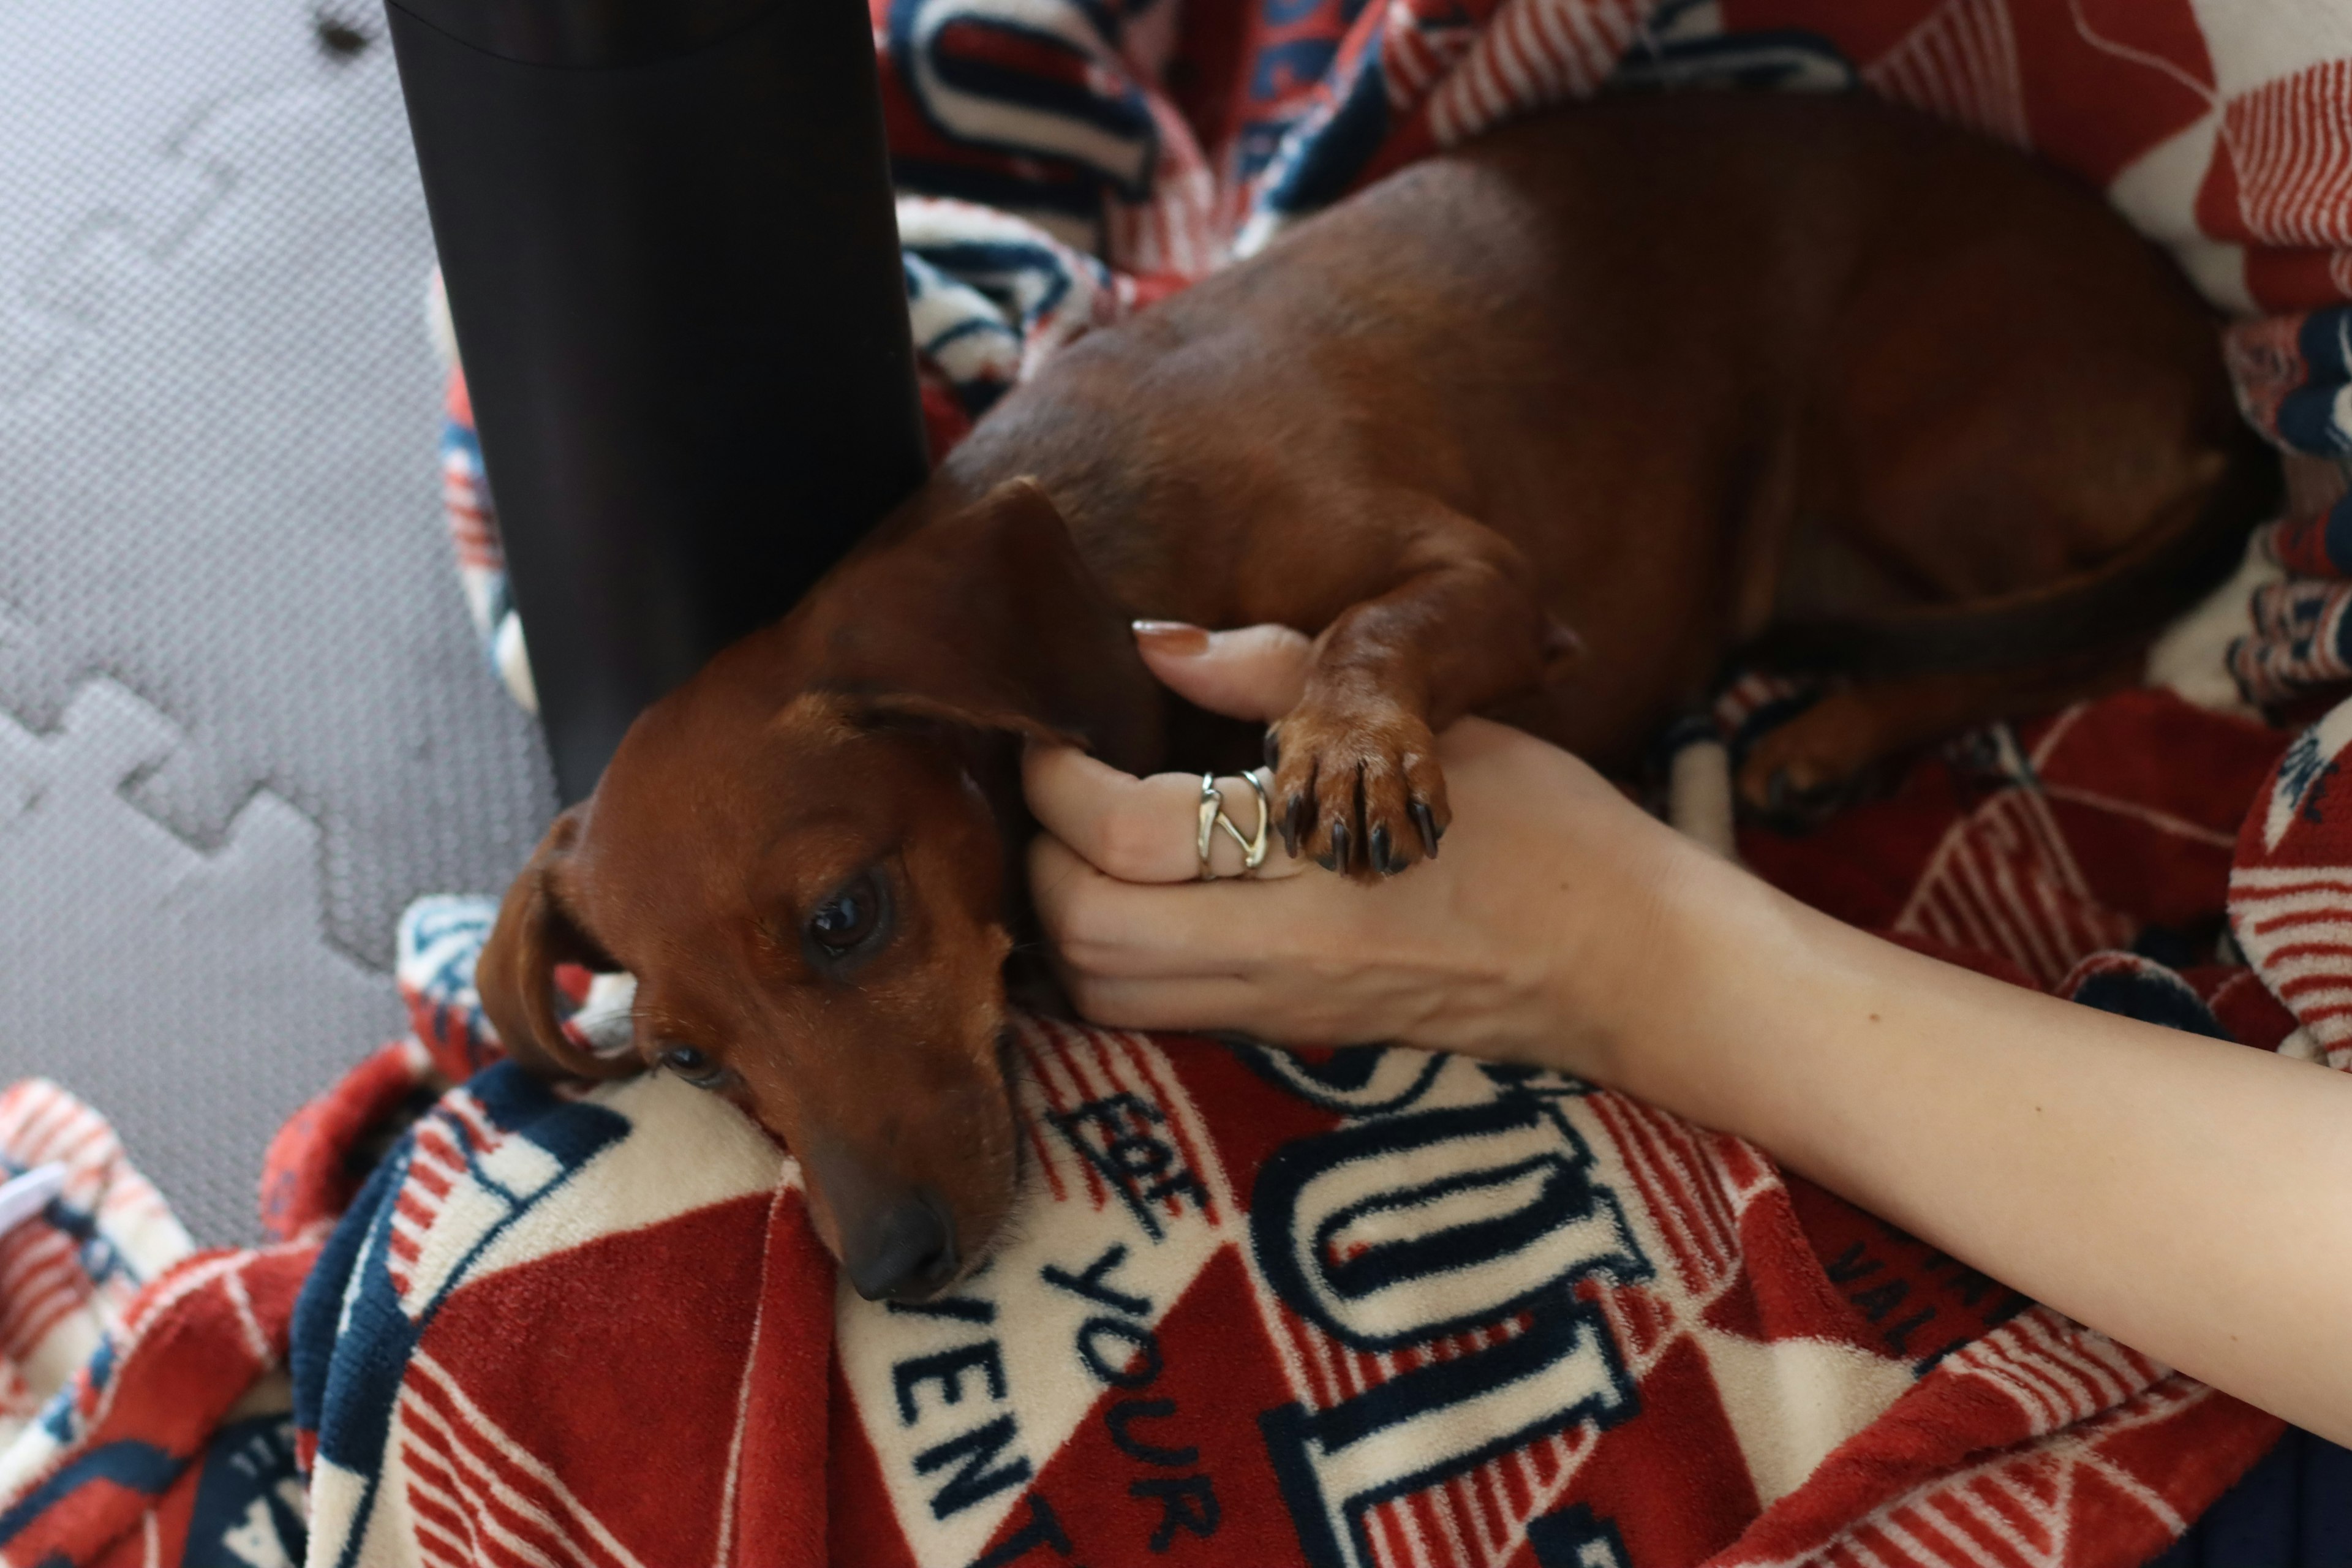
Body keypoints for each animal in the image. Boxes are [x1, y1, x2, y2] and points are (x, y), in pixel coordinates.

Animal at [482, 92, 2277, 1306]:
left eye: (846, 917)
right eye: (689, 1059)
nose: (893, 1271)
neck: (1093, 541)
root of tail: (2204, 369)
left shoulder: (1478, 579)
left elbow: (1368, 626)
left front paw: (1346, 747)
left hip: (1910, 436)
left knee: (2083, 641)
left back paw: (1836, 730)